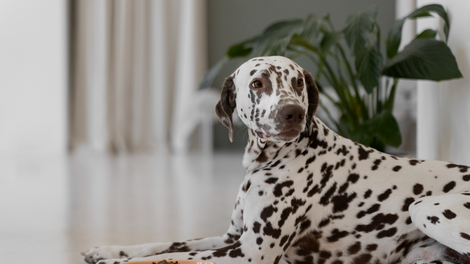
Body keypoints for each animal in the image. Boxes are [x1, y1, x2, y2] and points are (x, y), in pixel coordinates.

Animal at [82, 56, 470, 264]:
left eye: (298, 83)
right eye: (258, 83)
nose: (292, 113)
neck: (268, 162)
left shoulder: (248, 253)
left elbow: (166, 258)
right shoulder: (231, 237)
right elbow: (166, 243)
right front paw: (107, 249)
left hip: (425, 207)